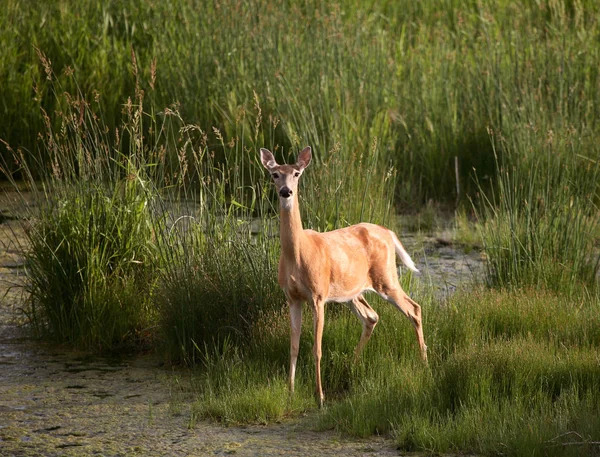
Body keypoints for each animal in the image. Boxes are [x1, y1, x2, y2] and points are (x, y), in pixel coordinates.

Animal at [262, 146, 426, 406]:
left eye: (297, 173)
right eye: (275, 174)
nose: (286, 191)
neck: (298, 254)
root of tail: (389, 231)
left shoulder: (318, 296)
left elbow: (317, 349)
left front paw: (320, 397)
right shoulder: (292, 297)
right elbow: (293, 346)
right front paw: (290, 391)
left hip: (386, 278)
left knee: (414, 308)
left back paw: (425, 364)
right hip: (352, 292)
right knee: (371, 317)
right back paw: (352, 366)